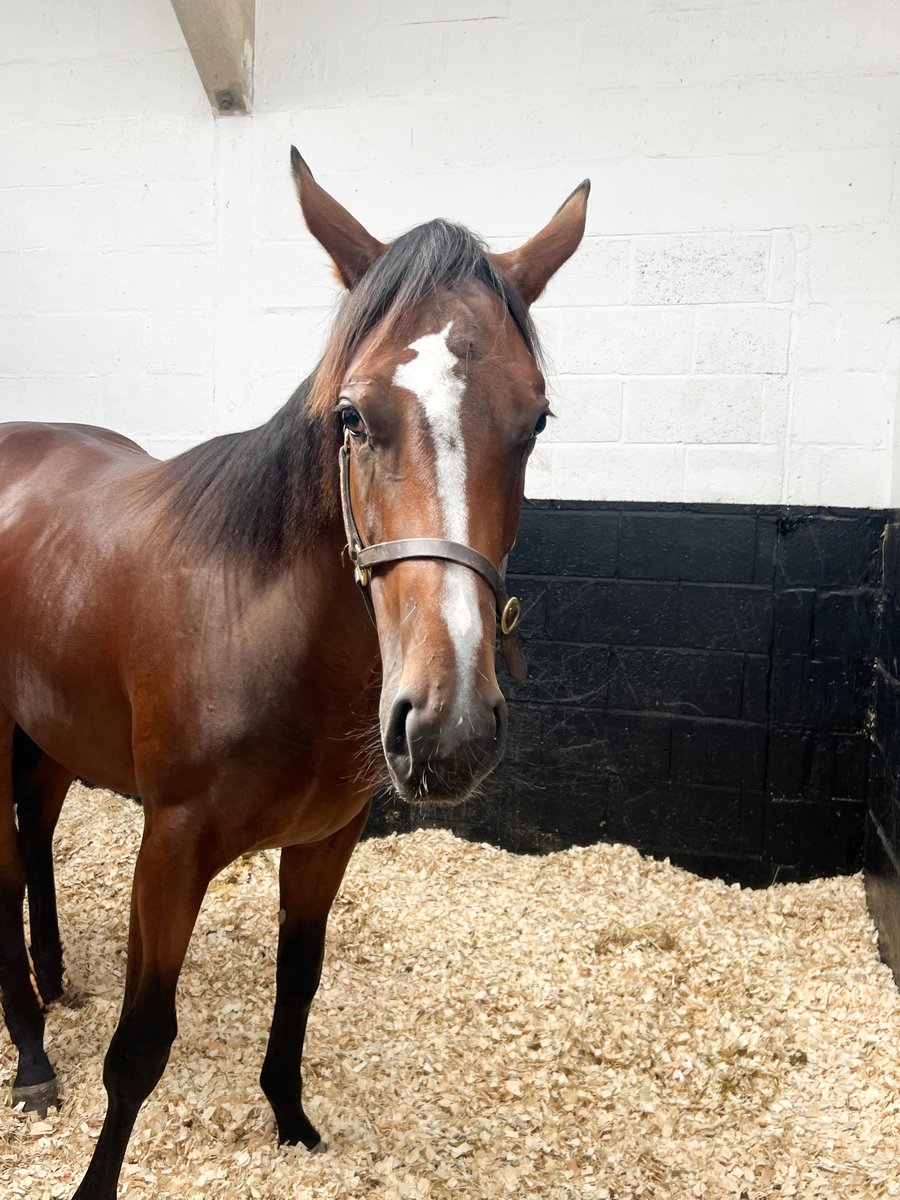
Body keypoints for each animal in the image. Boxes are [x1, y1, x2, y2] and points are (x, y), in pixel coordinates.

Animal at [0, 149, 588, 1200]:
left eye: (536, 419)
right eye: (353, 413)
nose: (447, 727)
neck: (265, 639)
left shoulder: (325, 843)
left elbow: (298, 981)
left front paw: (290, 1118)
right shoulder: (171, 847)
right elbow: (139, 1048)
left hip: (54, 738)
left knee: (34, 842)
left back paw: (57, 983)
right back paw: (30, 1055)